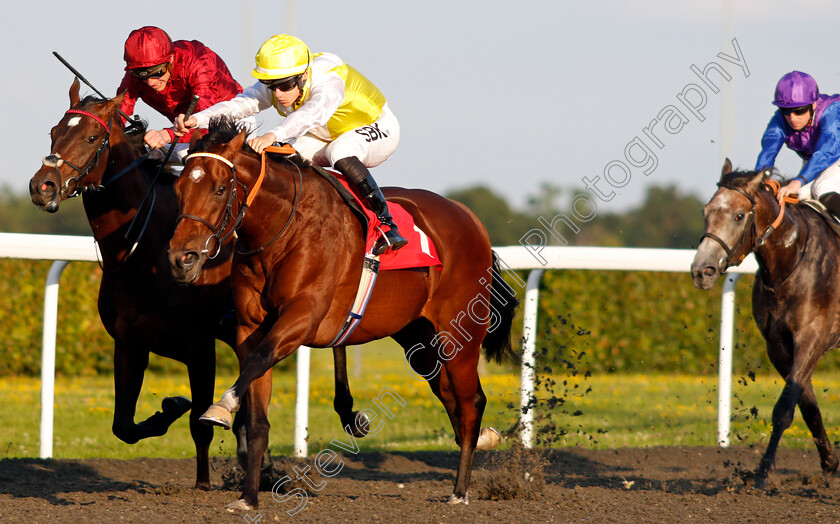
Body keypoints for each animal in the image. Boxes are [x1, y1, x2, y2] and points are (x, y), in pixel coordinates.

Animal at [167, 116, 516, 510]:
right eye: (179, 187)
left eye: (220, 188)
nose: (181, 259)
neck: (283, 228)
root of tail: (470, 218)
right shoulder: (249, 327)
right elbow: (256, 415)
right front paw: (249, 497)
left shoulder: (303, 316)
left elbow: (257, 362)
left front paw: (221, 406)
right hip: (419, 336)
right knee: (450, 395)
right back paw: (481, 445)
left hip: (460, 332)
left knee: (470, 402)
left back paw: (460, 490)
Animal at [688, 159, 840, 488]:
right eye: (706, 211)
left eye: (738, 215)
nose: (702, 271)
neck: (790, 261)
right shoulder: (778, 345)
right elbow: (807, 405)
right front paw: (830, 463)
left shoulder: (812, 338)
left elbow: (784, 409)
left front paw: (762, 473)